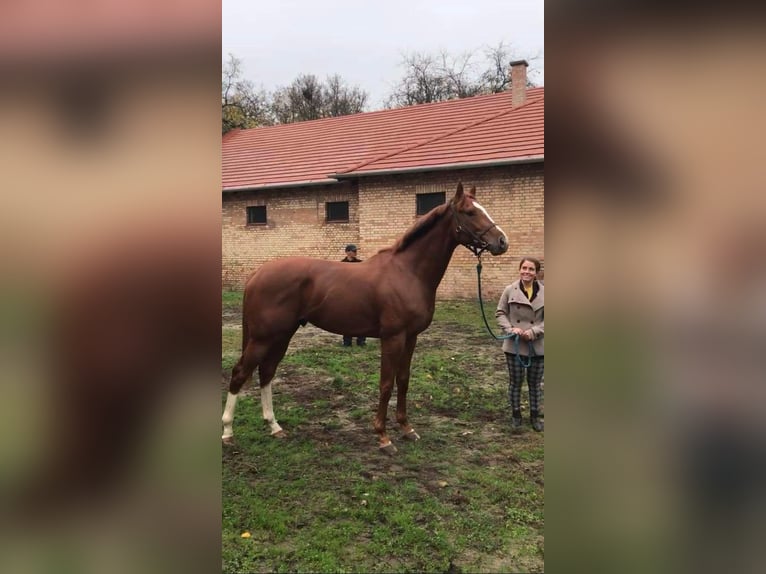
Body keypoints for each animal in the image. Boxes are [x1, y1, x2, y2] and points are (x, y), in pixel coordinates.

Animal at [222, 184, 510, 454]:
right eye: (470, 212)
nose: (502, 242)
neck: (408, 273)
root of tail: (257, 273)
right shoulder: (392, 338)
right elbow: (386, 383)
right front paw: (383, 437)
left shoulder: (411, 338)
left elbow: (403, 379)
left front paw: (406, 428)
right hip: (263, 337)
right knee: (240, 373)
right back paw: (227, 432)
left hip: (282, 335)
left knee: (266, 372)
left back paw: (274, 427)